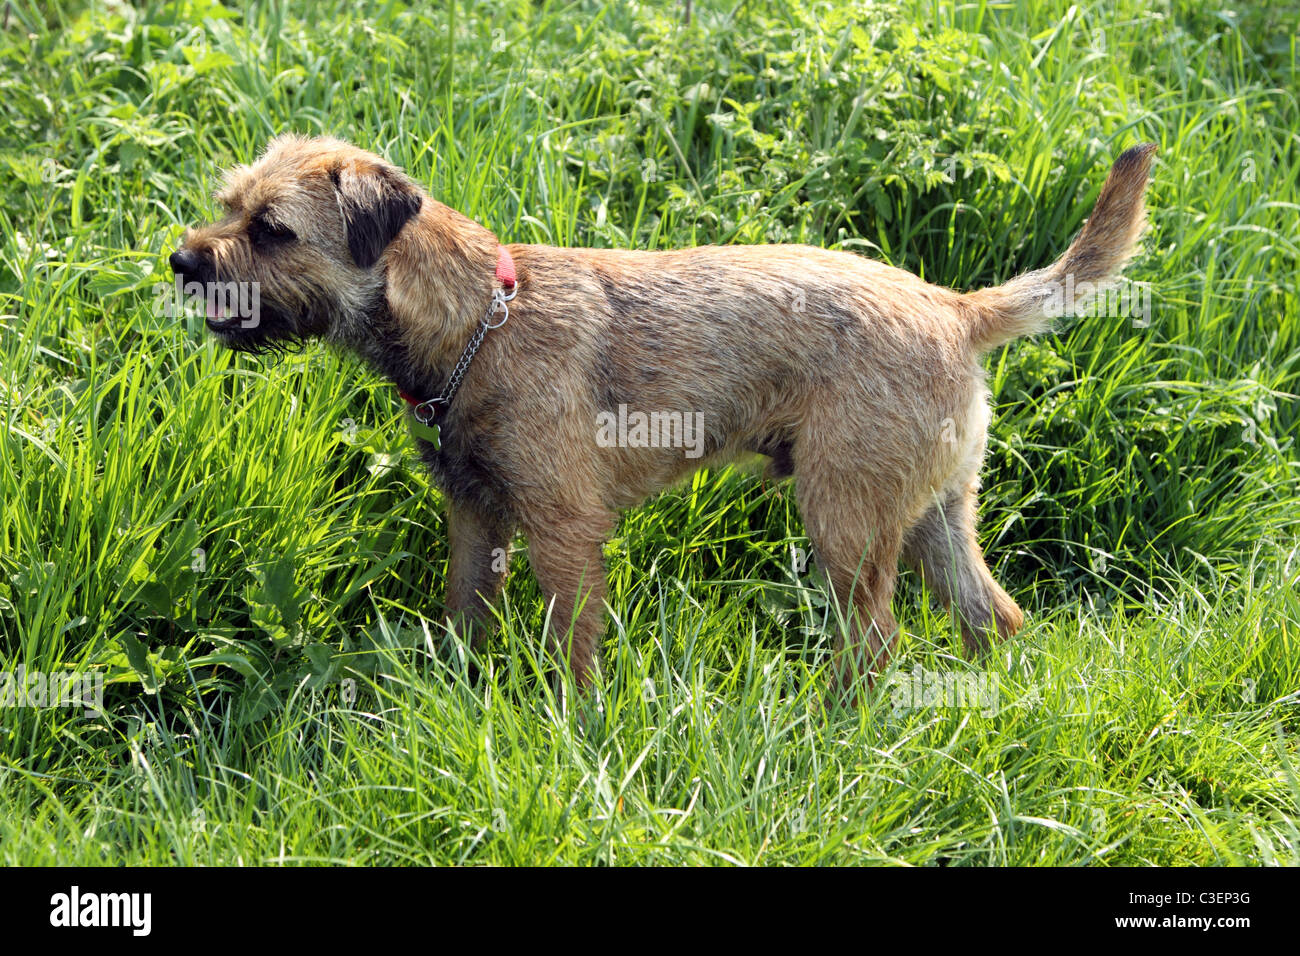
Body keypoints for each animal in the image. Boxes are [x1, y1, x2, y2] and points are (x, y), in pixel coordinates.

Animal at [172, 134, 1159, 697]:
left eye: (272, 230)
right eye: (228, 205)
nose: (182, 260)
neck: (477, 321)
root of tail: (955, 308)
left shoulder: (564, 530)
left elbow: (572, 647)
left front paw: (569, 727)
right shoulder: (475, 517)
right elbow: (465, 616)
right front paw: (460, 693)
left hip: (846, 521)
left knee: (876, 642)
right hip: (930, 517)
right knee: (993, 617)